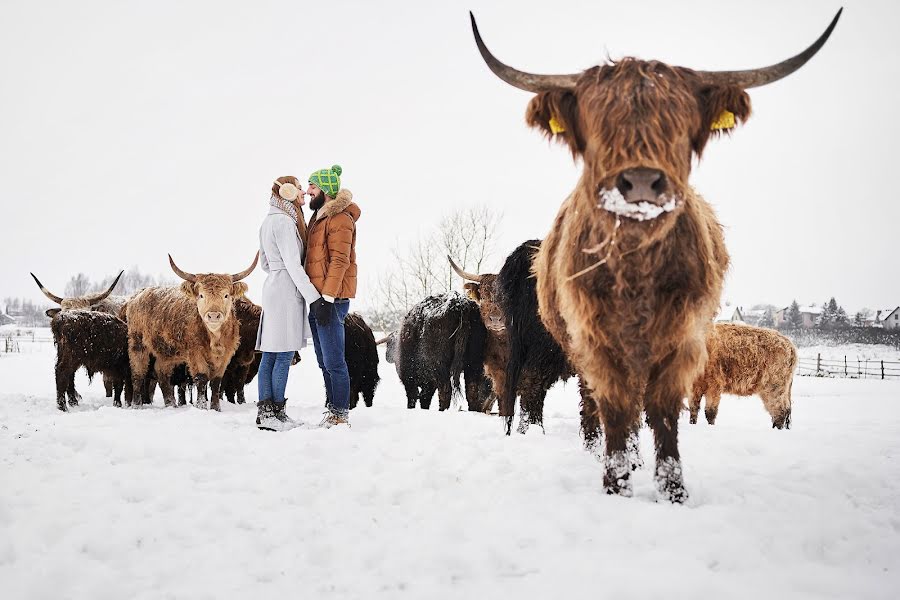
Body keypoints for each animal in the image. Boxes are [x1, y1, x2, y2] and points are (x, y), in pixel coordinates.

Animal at [123, 253, 256, 412]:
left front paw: (216, 408)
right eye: (201, 295)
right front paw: (201, 407)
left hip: (166, 351)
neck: (214, 339)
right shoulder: (195, 353)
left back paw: (171, 404)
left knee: (162, 373)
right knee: (138, 373)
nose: (213, 315)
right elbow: (202, 378)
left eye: (226, 295)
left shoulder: (226, 356)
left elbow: (216, 382)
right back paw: (137, 405)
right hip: (137, 342)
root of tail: (138, 294)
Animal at [472, 9, 844, 502]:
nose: (642, 182)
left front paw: (672, 491)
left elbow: (665, 412)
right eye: (597, 122)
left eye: (680, 123)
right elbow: (615, 409)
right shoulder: (596, 342)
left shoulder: (683, 341)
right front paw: (617, 483)